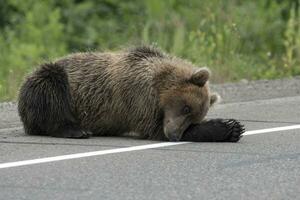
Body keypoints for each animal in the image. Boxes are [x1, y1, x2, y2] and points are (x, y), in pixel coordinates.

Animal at [17, 46, 244, 141]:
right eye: (186, 108)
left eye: (194, 117)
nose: (175, 135)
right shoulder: (137, 96)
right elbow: (153, 128)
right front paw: (228, 127)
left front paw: (231, 127)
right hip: (51, 81)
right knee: (50, 86)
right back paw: (75, 130)